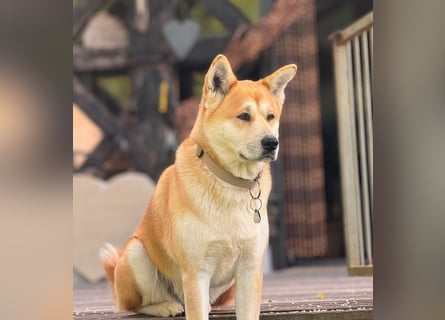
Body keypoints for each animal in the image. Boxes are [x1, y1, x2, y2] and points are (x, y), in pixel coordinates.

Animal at [99, 53, 294, 318]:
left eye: (270, 116)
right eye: (244, 116)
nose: (271, 142)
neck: (230, 184)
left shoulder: (250, 270)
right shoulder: (196, 272)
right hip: (136, 254)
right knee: (135, 305)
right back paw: (165, 306)